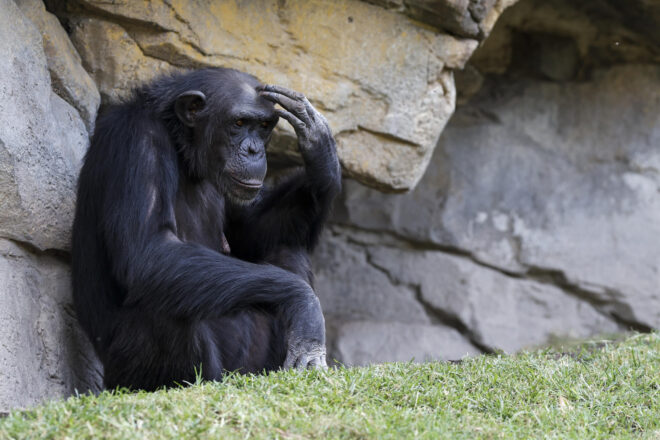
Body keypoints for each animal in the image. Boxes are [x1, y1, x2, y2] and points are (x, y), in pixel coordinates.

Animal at [71, 67, 340, 390]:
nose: (254, 150)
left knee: (284, 248)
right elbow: (148, 250)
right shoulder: (137, 142)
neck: (183, 150)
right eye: (239, 123)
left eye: (263, 126)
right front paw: (304, 305)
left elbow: (254, 228)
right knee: (161, 294)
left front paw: (320, 150)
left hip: (248, 368)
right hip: (127, 376)